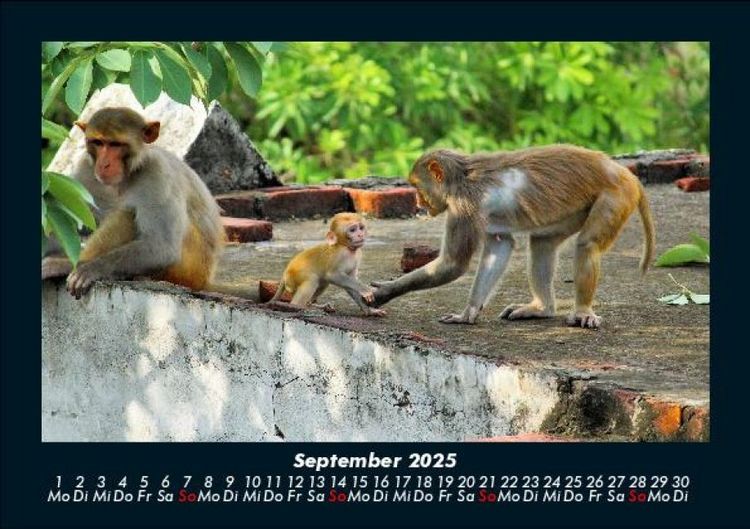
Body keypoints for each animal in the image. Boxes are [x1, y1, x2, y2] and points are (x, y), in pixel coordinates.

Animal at [42, 107, 224, 299]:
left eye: (115, 144)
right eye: (98, 142)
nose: (104, 164)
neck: (126, 176)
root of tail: (205, 280)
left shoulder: (157, 173)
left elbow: (162, 247)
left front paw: (89, 268)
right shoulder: (86, 169)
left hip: (190, 269)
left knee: (127, 214)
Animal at [370, 145, 656, 329]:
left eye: (418, 187)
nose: (419, 203)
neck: (462, 176)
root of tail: (623, 172)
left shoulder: (463, 206)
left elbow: (454, 264)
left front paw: (385, 291)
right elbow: (500, 246)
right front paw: (469, 313)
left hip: (615, 196)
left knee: (588, 244)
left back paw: (582, 310)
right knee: (542, 244)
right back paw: (542, 309)